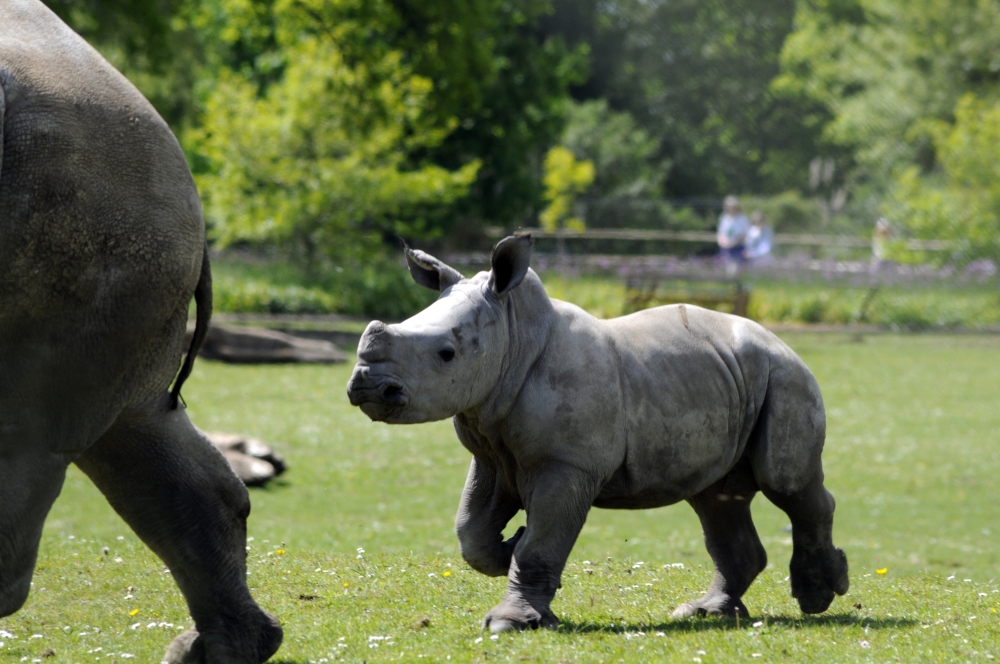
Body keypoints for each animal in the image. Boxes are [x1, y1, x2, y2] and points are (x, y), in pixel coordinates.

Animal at [347, 235, 849, 632]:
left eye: (446, 354)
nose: (366, 385)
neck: (514, 336)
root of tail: (781, 341)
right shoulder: (491, 449)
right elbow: (471, 532)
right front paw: (510, 548)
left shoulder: (567, 463)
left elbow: (541, 541)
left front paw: (511, 622)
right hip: (730, 378)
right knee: (717, 498)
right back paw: (706, 612)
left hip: (785, 378)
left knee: (785, 481)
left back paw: (820, 595)